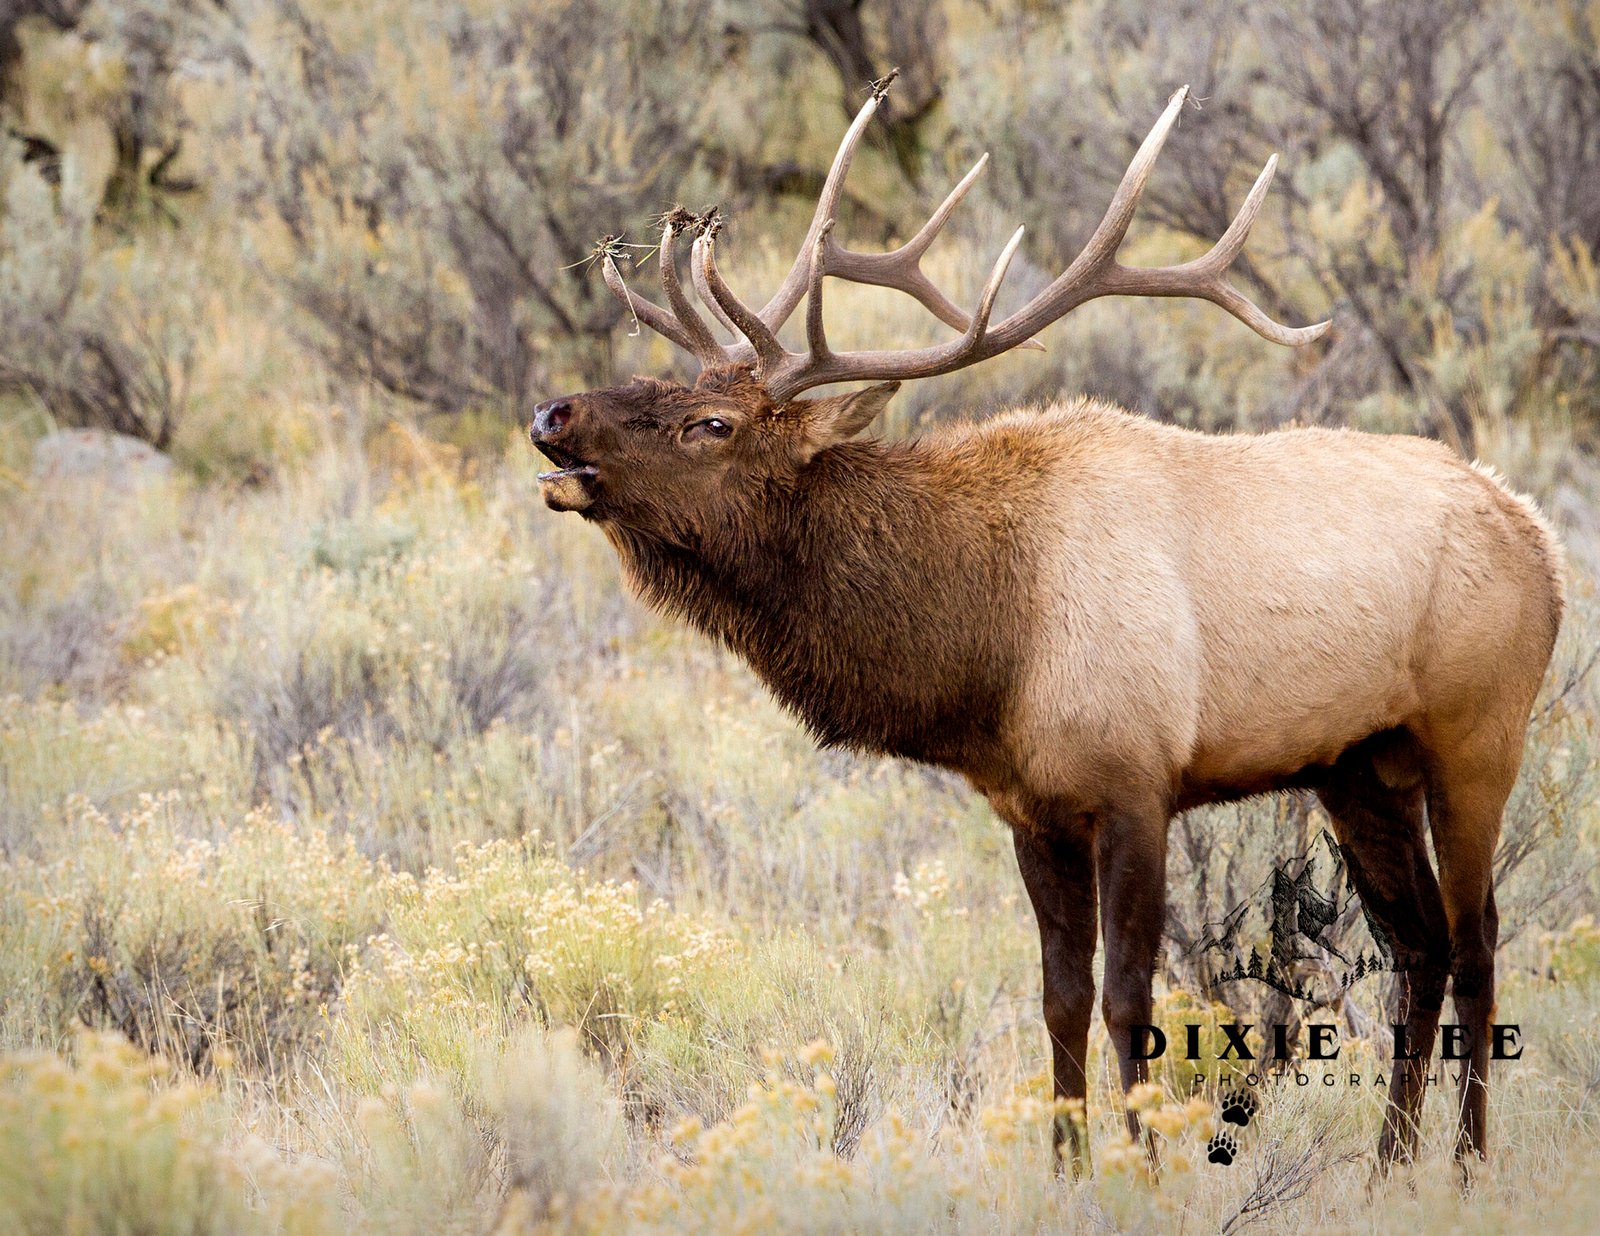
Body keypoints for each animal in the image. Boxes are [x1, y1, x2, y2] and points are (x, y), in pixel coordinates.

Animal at [527, 82, 1565, 1176]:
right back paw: (1388, 1162)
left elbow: (1129, 1001)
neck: (990, 644)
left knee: (1477, 940)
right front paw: (1067, 1170)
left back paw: (1465, 1164)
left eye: (711, 425)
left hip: (1476, 736)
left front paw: (1145, 1169)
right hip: (1356, 765)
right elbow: (1059, 1000)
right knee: (1417, 944)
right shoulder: (1031, 806)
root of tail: (1539, 540)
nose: (552, 413)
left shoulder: (1138, 781)